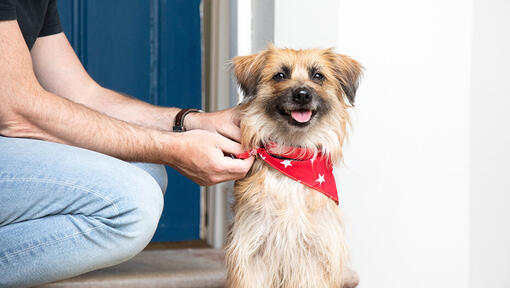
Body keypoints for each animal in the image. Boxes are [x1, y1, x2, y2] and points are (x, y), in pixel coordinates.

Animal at [227, 45, 362, 288]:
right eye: (280, 75)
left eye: (318, 76)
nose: (302, 95)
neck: (293, 156)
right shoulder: (252, 250)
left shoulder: (315, 254)